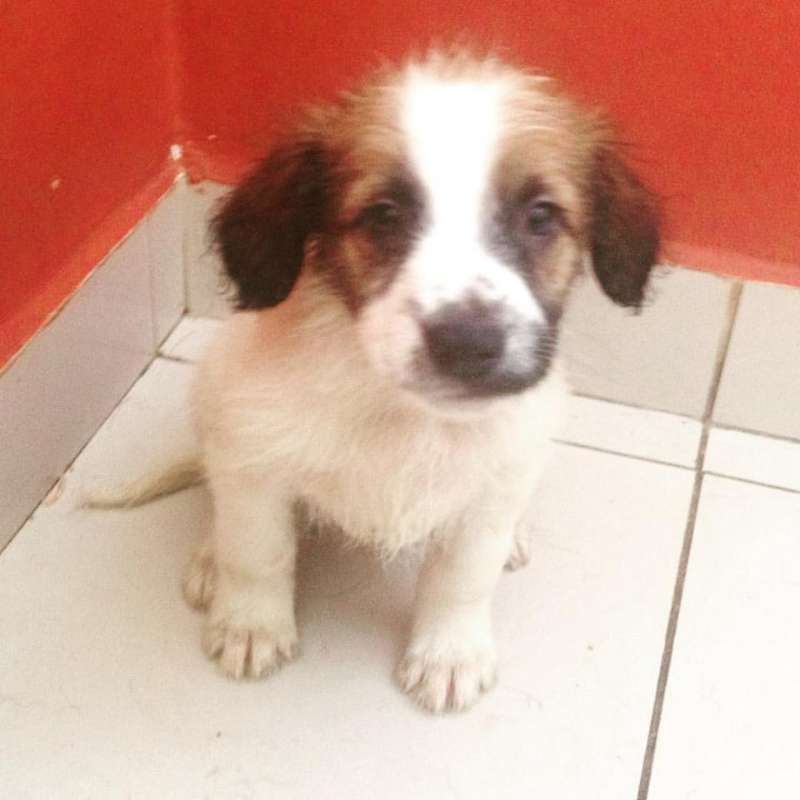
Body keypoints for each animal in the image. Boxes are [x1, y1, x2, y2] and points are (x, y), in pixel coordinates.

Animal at [103, 51, 659, 713]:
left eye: (541, 216)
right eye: (384, 215)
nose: (468, 342)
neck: (400, 412)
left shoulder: (494, 482)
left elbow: (462, 578)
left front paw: (449, 654)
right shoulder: (253, 458)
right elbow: (258, 551)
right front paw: (251, 624)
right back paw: (213, 556)